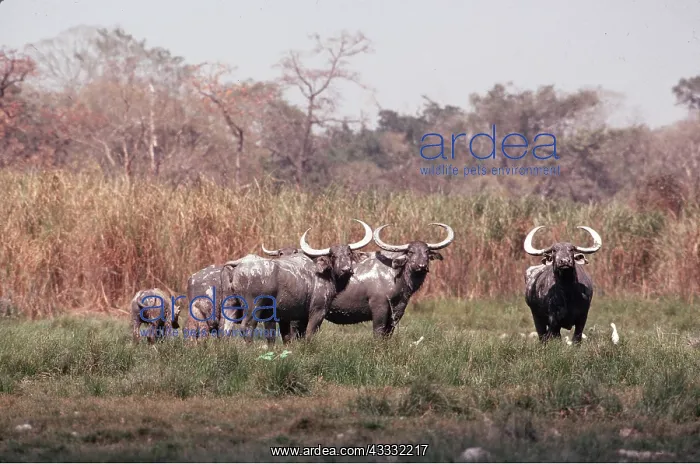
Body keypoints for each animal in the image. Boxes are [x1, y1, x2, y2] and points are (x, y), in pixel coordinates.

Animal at [221, 219, 373, 344]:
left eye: (349, 253)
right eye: (333, 256)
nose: (346, 269)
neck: (324, 273)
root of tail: (239, 265)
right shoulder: (317, 311)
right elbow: (309, 335)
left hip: (231, 306)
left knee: (226, 328)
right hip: (253, 308)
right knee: (246, 327)